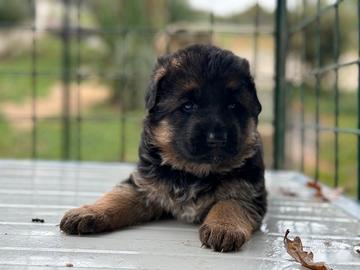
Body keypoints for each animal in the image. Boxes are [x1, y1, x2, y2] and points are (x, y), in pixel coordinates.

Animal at [60, 44, 266, 253]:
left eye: (233, 106)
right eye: (188, 106)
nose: (216, 139)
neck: (193, 173)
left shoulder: (246, 191)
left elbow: (230, 204)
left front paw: (223, 228)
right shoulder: (144, 186)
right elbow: (117, 197)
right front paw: (89, 212)